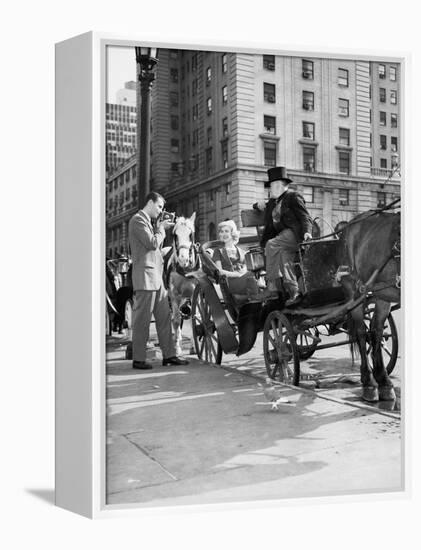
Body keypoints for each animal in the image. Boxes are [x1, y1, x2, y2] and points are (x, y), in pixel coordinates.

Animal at [338, 209, 400, 404]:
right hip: (355, 290)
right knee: (361, 332)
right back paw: (369, 383)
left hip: (382, 294)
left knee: (376, 330)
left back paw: (383, 381)